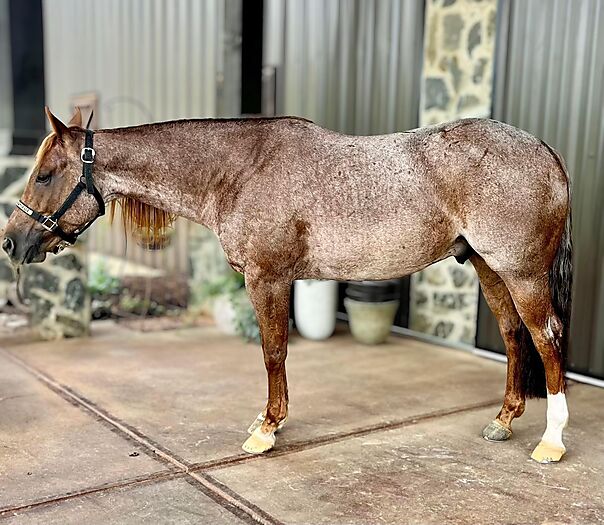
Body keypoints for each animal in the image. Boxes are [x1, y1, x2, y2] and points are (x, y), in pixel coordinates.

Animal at [2, 107, 572, 463]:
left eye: (46, 174)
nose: (10, 242)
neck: (239, 171)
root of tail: (546, 150)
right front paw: (267, 419)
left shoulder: (267, 279)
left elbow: (273, 350)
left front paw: (266, 429)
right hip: (487, 268)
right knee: (513, 335)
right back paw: (504, 421)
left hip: (520, 272)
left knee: (547, 338)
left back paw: (551, 441)